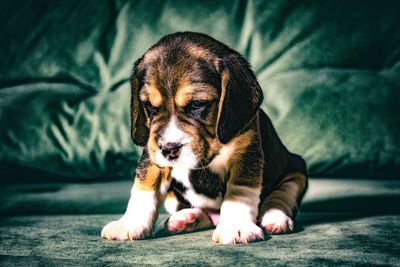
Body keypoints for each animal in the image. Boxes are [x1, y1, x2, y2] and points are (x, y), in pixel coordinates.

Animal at [101, 31, 308, 245]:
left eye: (197, 104)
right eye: (150, 106)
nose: (169, 149)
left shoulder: (246, 153)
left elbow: (239, 193)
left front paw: (236, 227)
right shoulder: (152, 153)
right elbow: (144, 188)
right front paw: (129, 224)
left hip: (296, 171)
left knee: (281, 195)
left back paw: (275, 217)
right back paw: (185, 218)